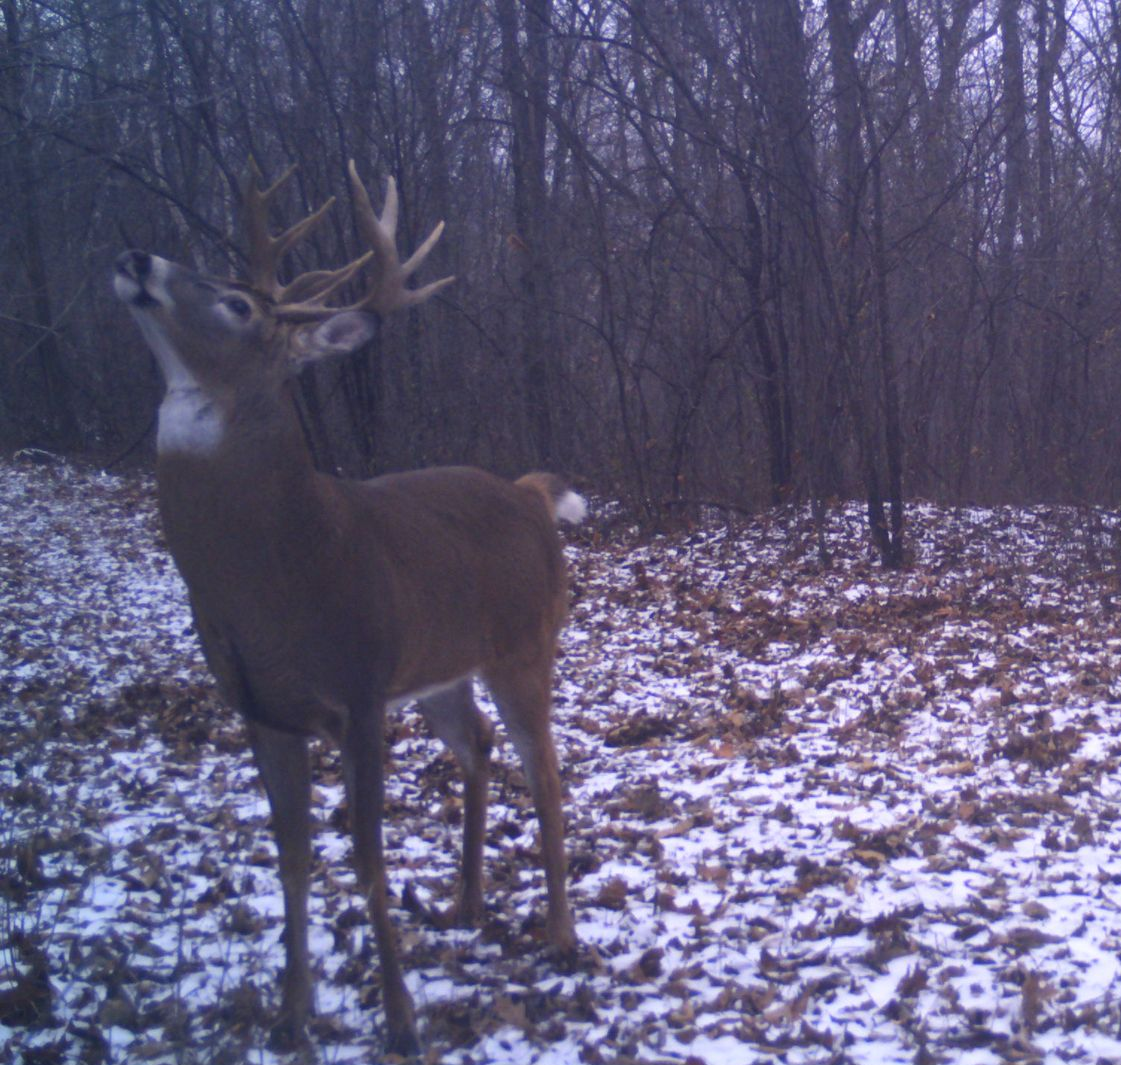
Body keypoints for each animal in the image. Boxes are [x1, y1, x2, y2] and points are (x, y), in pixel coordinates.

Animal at [112, 161, 583, 1056]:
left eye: (238, 305)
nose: (135, 258)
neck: (280, 579)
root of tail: (528, 492)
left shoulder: (362, 692)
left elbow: (367, 860)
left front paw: (400, 1023)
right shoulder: (260, 709)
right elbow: (292, 857)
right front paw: (291, 1014)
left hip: (523, 643)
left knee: (545, 771)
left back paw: (561, 936)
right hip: (439, 670)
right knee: (476, 745)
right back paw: (467, 901)